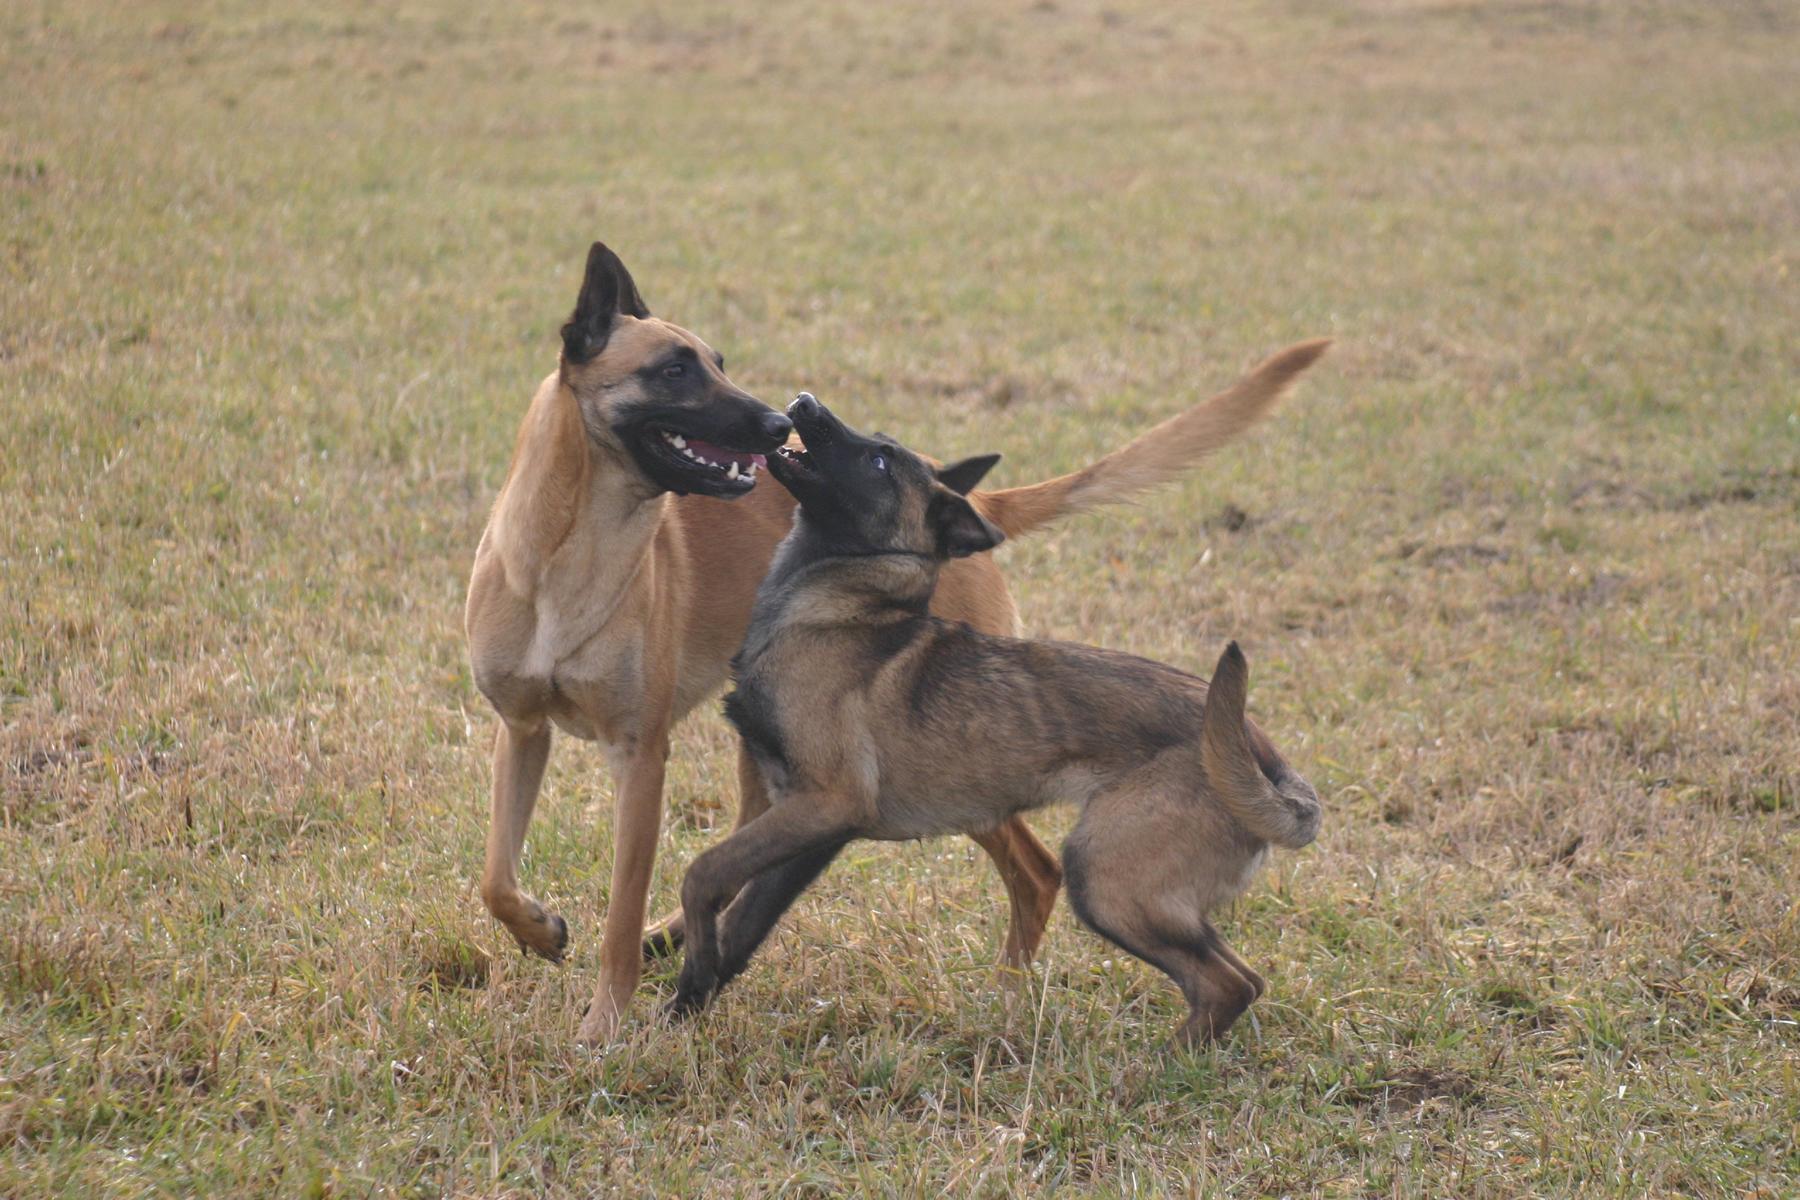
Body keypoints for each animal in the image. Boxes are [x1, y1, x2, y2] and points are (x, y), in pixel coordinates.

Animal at [673, 392, 1324, 1043]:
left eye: (880, 461)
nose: (804, 404)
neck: (837, 609)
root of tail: (1267, 760)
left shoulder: (828, 806)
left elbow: (704, 874)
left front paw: (690, 980)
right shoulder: (803, 822)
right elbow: (744, 921)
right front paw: (684, 1007)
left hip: (1107, 879)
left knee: (1223, 983)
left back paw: (1156, 1062)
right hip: (1154, 897)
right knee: (1241, 978)